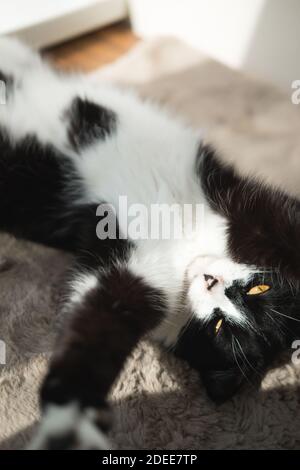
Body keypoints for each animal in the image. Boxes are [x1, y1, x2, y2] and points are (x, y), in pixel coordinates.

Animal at [0, 38, 300, 450]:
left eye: (218, 327)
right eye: (261, 287)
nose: (212, 281)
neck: (187, 244)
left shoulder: (135, 277)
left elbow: (99, 322)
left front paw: (68, 419)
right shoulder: (242, 208)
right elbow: (286, 229)